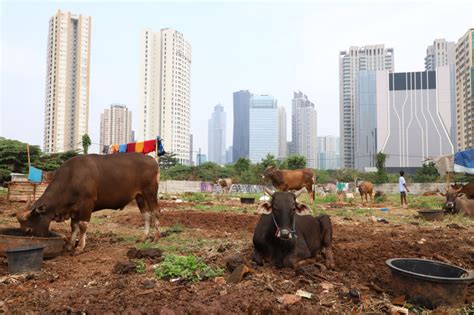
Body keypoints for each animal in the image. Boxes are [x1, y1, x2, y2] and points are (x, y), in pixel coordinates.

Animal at [17, 153, 161, 254]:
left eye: (28, 229)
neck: (71, 176)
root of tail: (153, 161)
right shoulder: (74, 209)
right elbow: (73, 226)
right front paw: (69, 245)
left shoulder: (87, 203)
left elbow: (82, 225)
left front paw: (80, 247)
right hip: (139, 196)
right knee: (146, 215)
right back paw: (144, 237)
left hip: (150, 192)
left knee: (156, 212)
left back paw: (156, 237)